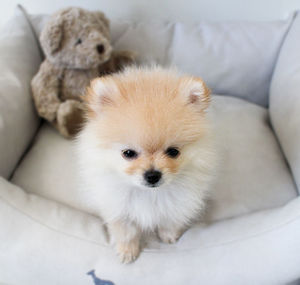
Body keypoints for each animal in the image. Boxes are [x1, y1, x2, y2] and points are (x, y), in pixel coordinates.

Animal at [77, 66, 218, 262]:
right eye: (128, 153)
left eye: (173, 151)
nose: (152, 175)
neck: (149, 194)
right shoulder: (118, 208)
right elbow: (126, 232)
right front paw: (127, 251)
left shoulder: (178, 202)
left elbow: (170, 220)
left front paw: (169, 236)